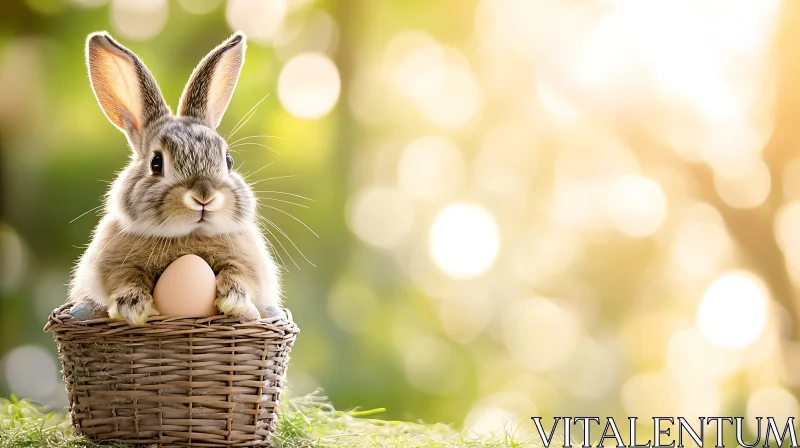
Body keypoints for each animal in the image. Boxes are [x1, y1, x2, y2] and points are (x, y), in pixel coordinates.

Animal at [67, 32, 282, 326]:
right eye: (156, 163)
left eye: (228, 160)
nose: (204, 196)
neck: (187, 237)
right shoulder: (111, 265)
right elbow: (124, 277)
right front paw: (134, 306)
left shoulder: (247, 260)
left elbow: (240, 272)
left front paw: (235, 300)